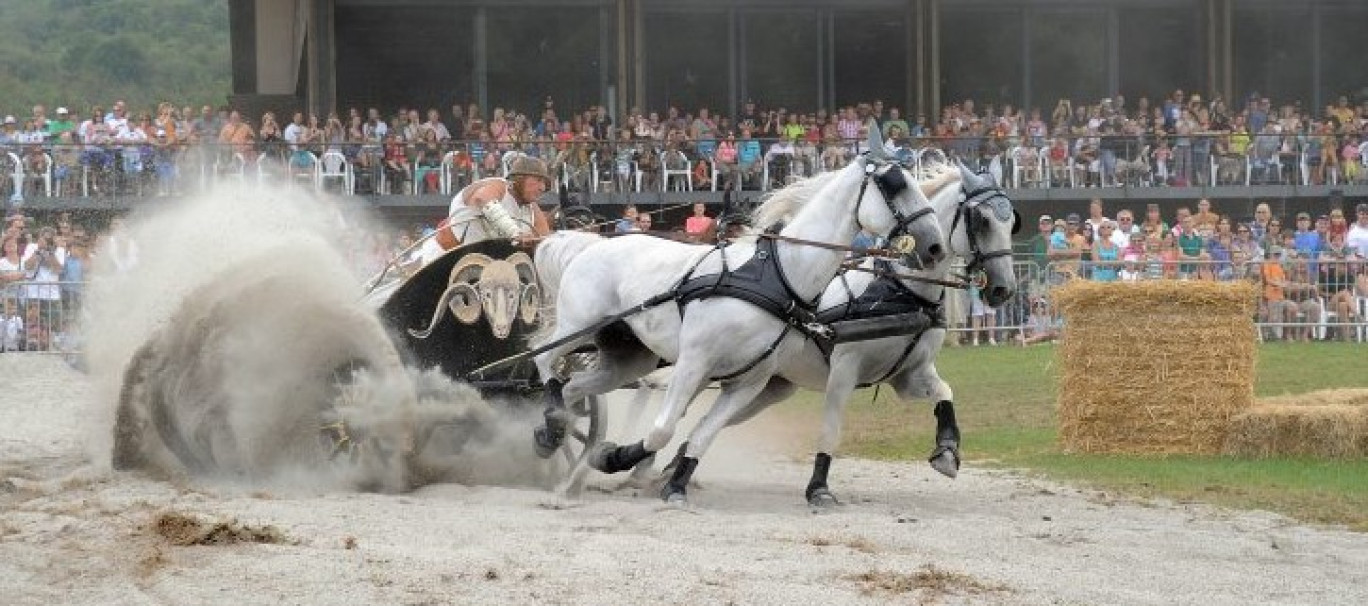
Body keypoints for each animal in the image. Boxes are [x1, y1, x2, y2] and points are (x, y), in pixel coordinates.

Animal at [528, 140, 946, 506]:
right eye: (896, 185)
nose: (934, 246)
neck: (778, 277)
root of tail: (588, 243)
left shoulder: (749, 381)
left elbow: (701, 435)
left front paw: (674, 486)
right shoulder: (694, 363)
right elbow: (663, 428)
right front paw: (614, 459)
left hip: (629, 357)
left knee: (574, 389)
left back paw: (555, 440)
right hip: (577, 327)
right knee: (542, 360)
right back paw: (552, 425)